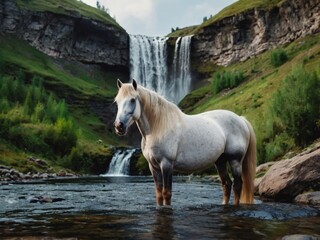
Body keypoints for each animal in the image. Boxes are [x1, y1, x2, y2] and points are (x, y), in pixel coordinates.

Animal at [114, 79, 256, 205]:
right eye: (117, 101)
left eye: (132, 99)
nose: (119, 126)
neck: (158, 128)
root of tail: (241, 119)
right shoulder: (153, 166)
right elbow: (159, 194)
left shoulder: (166, 164)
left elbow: (167, 193)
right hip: (220, 161)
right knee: (227, 184)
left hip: (235, 161)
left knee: (238, 185)